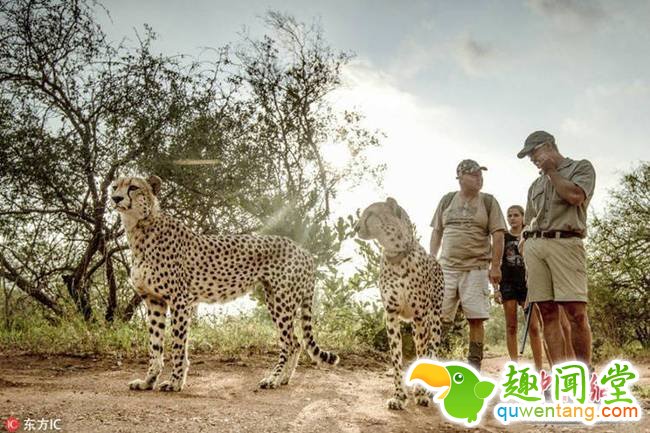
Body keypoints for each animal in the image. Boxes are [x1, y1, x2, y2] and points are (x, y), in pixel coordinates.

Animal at [110, 174, 336, 390]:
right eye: (115, 186)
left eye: (133, 187)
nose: (115, 198)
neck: (140, 227)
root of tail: (303, 250)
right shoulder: (154, 300)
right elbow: (155, 346)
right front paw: (148, 382)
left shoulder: (179, 300)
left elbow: (177, 345)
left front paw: (174, 383)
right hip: (273, 299)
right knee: (296, 343)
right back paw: (283, 379)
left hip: (282, 301)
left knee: (289, 343)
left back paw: (273, 379)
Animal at [354, 197, 446, 406]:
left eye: (370, 214)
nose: (355, 227)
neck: (395, 256)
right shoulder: (391, 314)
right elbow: (396, 357)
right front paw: (398, 395)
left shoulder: (420, 317)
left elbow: (422, 354)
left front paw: (420, 394)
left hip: (434, 320)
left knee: (432, 349)